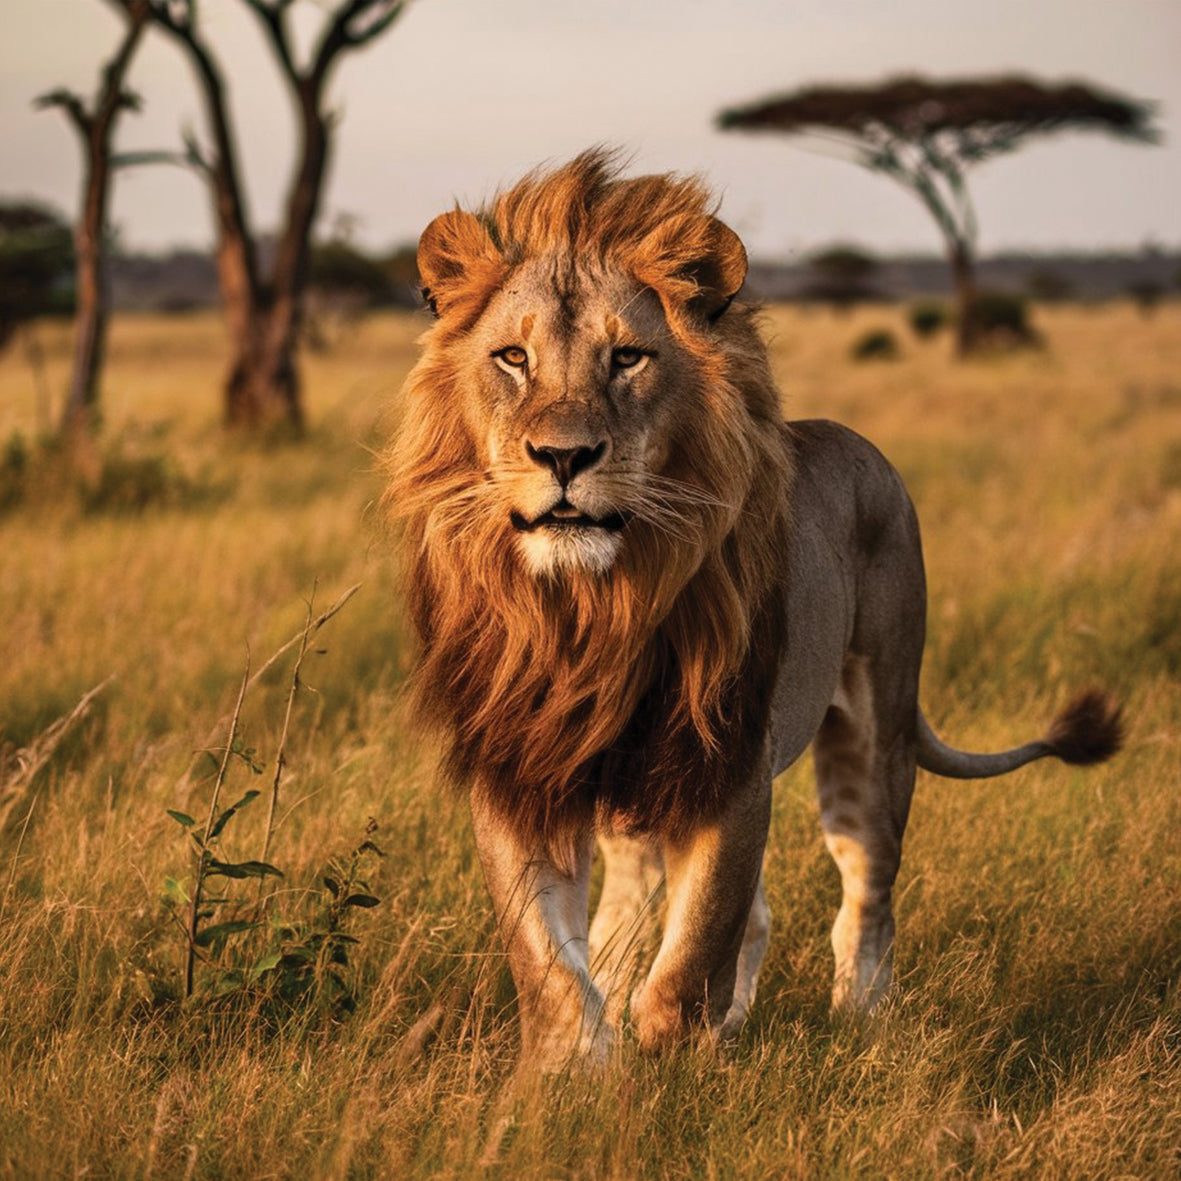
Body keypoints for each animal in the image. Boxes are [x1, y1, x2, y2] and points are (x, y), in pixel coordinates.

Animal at [384, 150, 1122, 1074]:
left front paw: (676, 1066)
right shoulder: (525, 766)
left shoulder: (727, 762)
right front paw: (571, 1075)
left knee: (866, 892)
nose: (562, 456)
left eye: (628, 358)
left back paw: (857, 1023)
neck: (596, 607)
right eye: (511, 357)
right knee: (657, 906)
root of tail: (864, 447)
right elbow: (549, 960)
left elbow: (696, 946)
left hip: (873, 734)